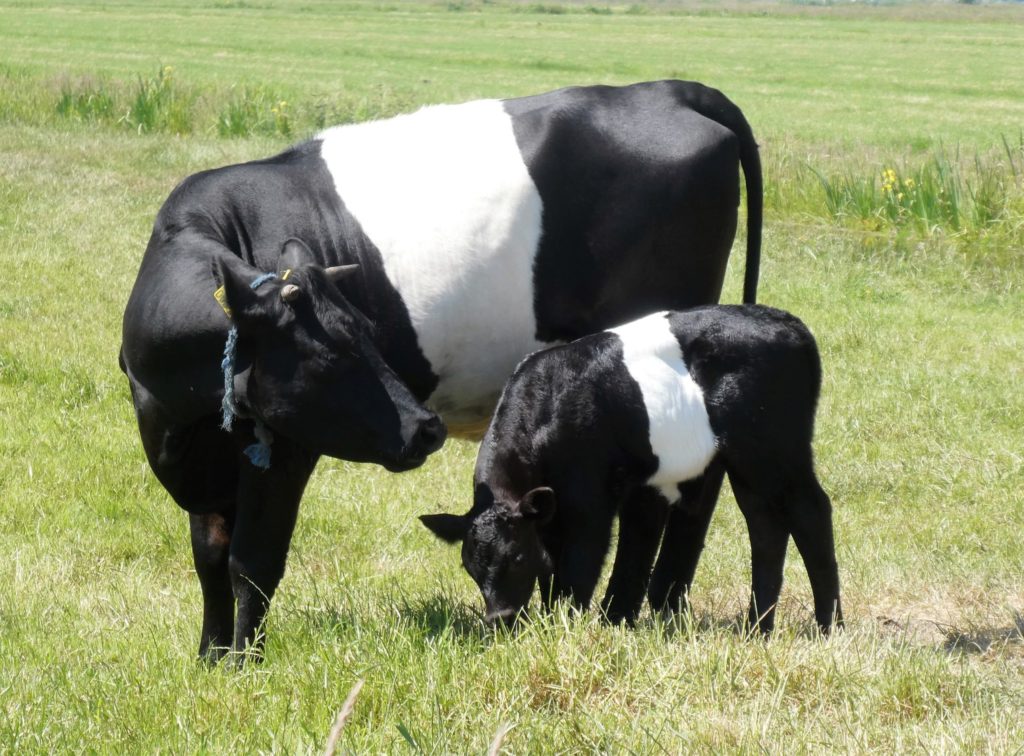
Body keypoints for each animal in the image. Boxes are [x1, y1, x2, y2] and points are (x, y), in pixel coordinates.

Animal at [119, 79, 763, 662]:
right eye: (330, 353)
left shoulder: (287, 448)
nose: (426, 427)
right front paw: (209, 658)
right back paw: (655, 608)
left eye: (365, 334)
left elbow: (251, 561)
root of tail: (669, 89)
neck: (184, 422)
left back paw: (639, 611)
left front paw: (244, 666)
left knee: (670, 497)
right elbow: (209, 558)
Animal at [421, 306, 842, 635]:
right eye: (471, 569)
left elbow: (581, 561)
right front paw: (597, 620)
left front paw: (566, 625)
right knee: (765, 525)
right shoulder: (605, 497)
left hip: (776, 450)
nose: (501, 619)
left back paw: (828, 625)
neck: (543, 411)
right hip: (748, 466)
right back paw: (758, 626)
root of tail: (788, 322)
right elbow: (586, 561)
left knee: (810, 512)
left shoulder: (588, 501)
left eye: (518, 558)